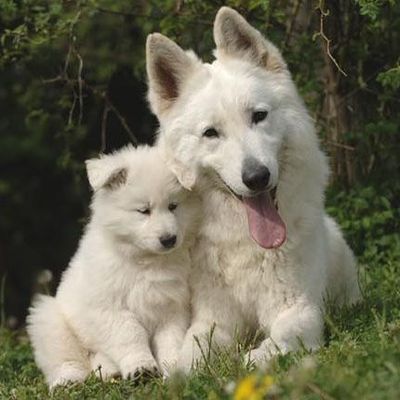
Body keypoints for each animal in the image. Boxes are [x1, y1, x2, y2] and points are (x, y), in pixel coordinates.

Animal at [26, 145, 198, 388]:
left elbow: (170, 339)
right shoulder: (110, 307)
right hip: (50, 319)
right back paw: (68, 380)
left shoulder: (171, 307)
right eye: (143, 211)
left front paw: (173, 370)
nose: (169, 239)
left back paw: (108, 370)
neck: (144, 260)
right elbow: (130, 335)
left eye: (173, 206)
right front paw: (141, 368)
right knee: (66, 359)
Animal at [147, 6, 362, 370]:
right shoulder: (213, 320)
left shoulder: (300, 309)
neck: (246, 245)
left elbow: (278, 340)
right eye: (211, 133)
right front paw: (180, 372)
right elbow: (190, 354)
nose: (257, 177)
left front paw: (249, 361)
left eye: (258, 116)